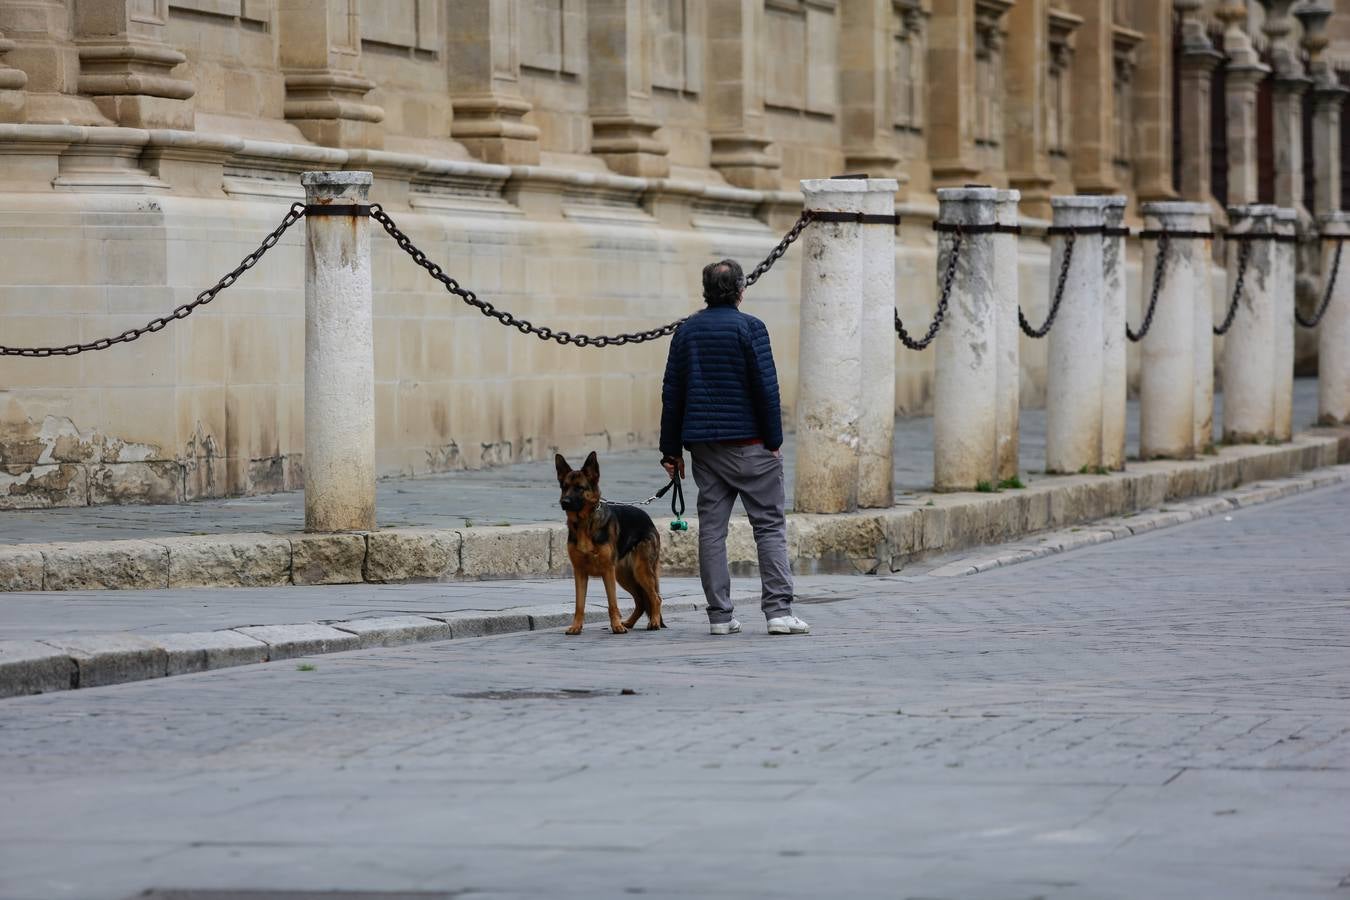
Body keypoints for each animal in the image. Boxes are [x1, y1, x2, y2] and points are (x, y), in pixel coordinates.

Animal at [556, 450, 666, 634]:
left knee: (655, 598)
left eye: (579, 488)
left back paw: (654, 622)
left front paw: (616, 626)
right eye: (564, 487)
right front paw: (576, 627)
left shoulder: (608, 571)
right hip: (624, 576)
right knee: (641, 601)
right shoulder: (580, 573)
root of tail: (648, 519)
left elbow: (612, 603)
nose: (564, 502)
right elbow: (579, 605)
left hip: (640, 571)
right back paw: (629, 623)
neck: (585, 523)